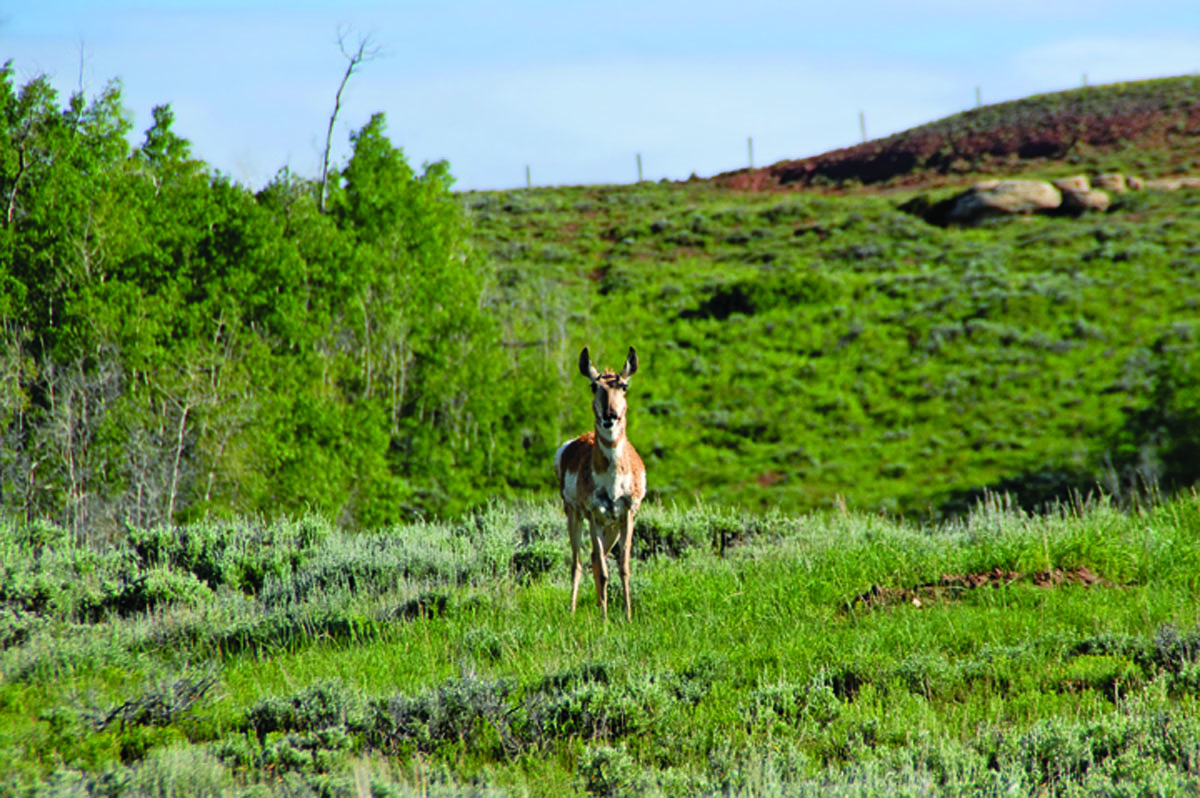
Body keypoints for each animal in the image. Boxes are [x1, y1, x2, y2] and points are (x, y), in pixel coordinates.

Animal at [553, 346, 646, 621]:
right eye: (594, 386)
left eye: (623, 385)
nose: (610, 416)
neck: (613, 484)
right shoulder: (595, 514)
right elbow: (604, 572)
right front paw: (605, 621)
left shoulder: (626, 514)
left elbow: (623, 568)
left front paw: (627, 616)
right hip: (574, 514)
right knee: (578, 562)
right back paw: (574, 611)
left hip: (611, 526)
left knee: (596, 557)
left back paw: (597, 606)